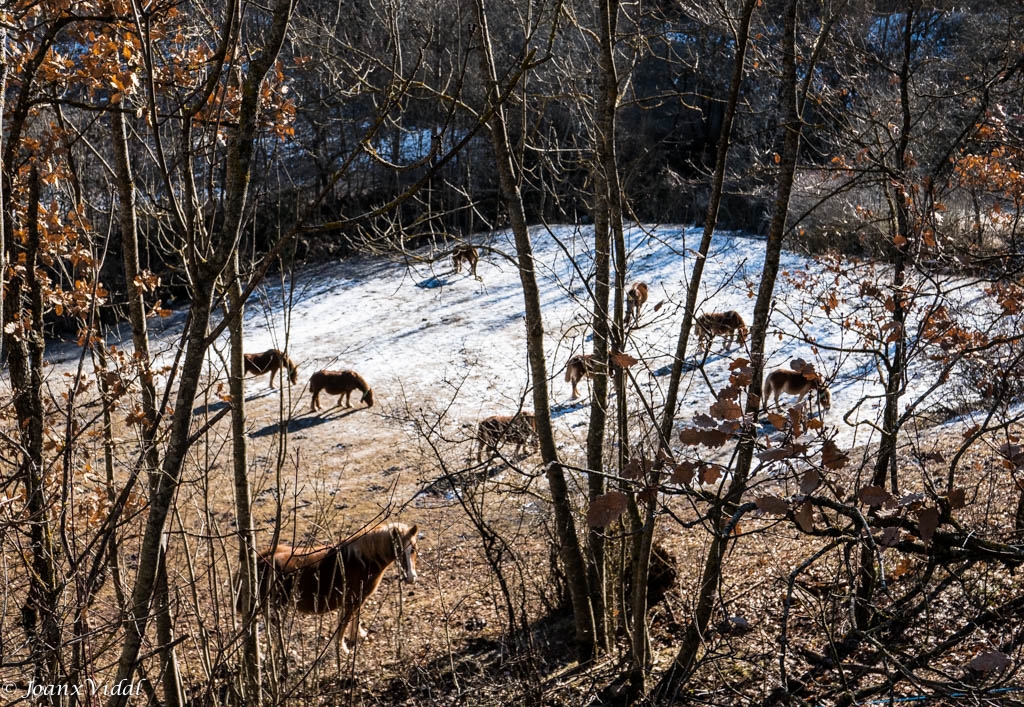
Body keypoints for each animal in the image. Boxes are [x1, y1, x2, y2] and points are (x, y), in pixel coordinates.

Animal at [249, 520, 417, 651]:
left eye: (414, 549)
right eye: (398, 549)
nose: (411, 577)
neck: (361, 561)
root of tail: (261, 558)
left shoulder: (358, 599)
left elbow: (355, 618)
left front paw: (358, 636)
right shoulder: (352, 600)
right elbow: (344, 624)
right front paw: (343, 649)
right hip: (274, 607)